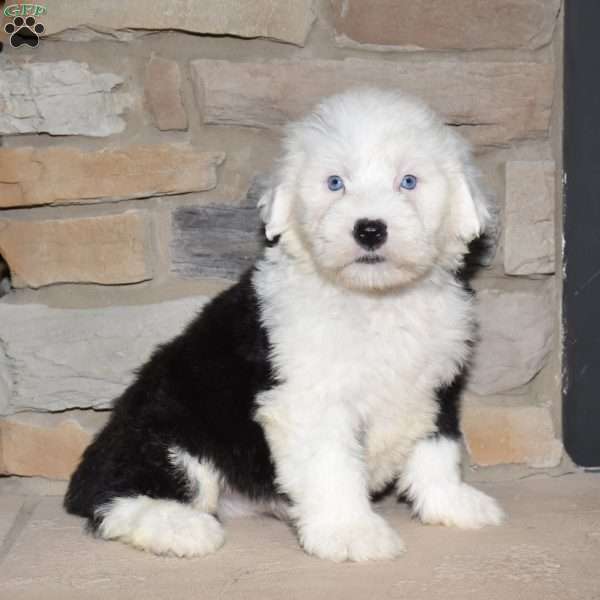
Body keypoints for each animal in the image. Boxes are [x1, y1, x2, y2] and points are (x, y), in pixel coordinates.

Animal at [65, 89, 504, 564]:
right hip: (172, 422)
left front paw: (454, 504)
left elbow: (437, 449)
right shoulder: (309, 399)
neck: (375, 301)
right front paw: (350, 532)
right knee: (119, 497)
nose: (370, 230)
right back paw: (182, 528)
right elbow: (333, 466)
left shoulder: (435, 385)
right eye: (335, 183)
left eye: (408, 181)